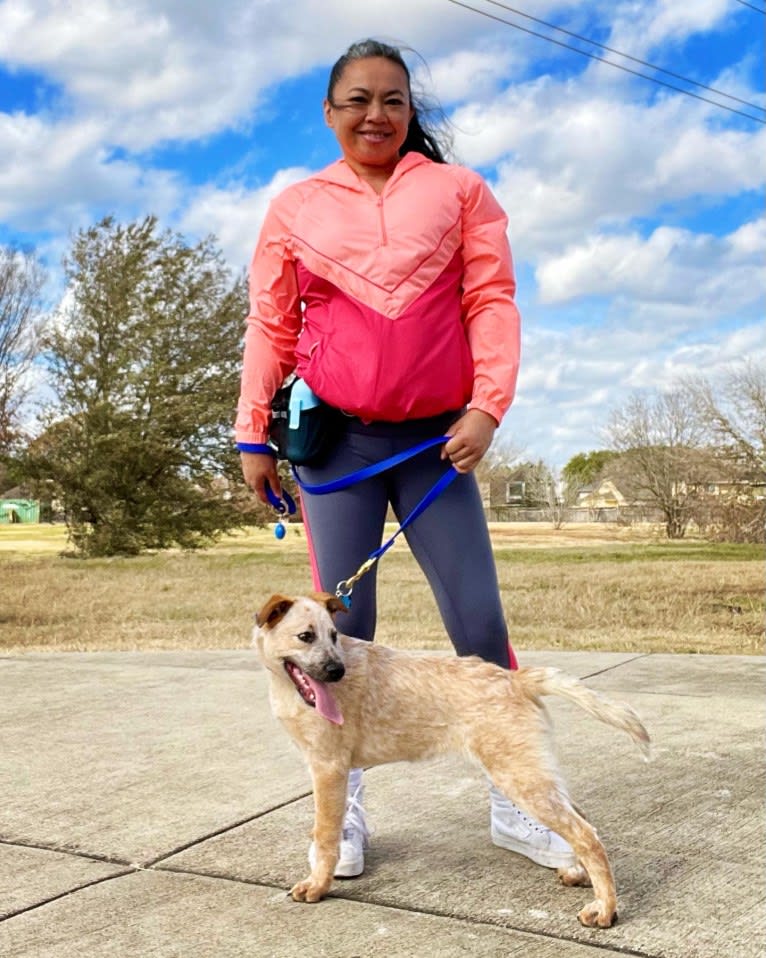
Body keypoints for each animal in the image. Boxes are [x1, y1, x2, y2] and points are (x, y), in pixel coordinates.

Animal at [255, 592, 652, 928]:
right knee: (583, 821)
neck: (288, 688)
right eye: (306, 636)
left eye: (334, 635)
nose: (337, 672)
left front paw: (317, 885)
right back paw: (576, 874)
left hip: (519, 776)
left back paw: (605, 909)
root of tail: (516, 678)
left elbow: (325, 835)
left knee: (586, 835)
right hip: (533, 772)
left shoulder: (328, 768)